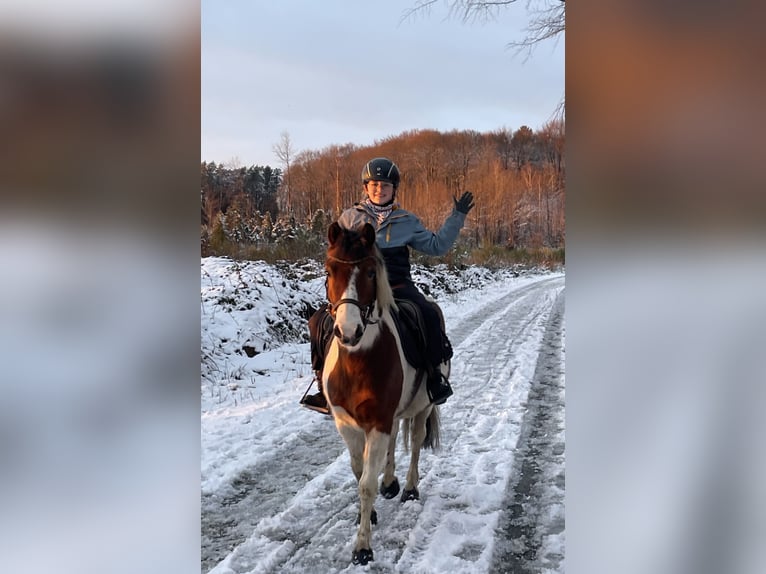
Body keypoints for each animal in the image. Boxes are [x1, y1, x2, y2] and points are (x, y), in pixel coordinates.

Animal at [320, 220, 448, 568]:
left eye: (369, 272)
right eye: (329, 270)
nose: (348, 332)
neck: (358, 361)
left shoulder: (378, 421)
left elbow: (366, 484)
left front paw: (362, 547)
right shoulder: (348, 425)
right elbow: (359, 472)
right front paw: (369, 515)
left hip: (422, 407)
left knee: (415, 442)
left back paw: (409, 488)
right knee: (393, 445)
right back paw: (390, 482)